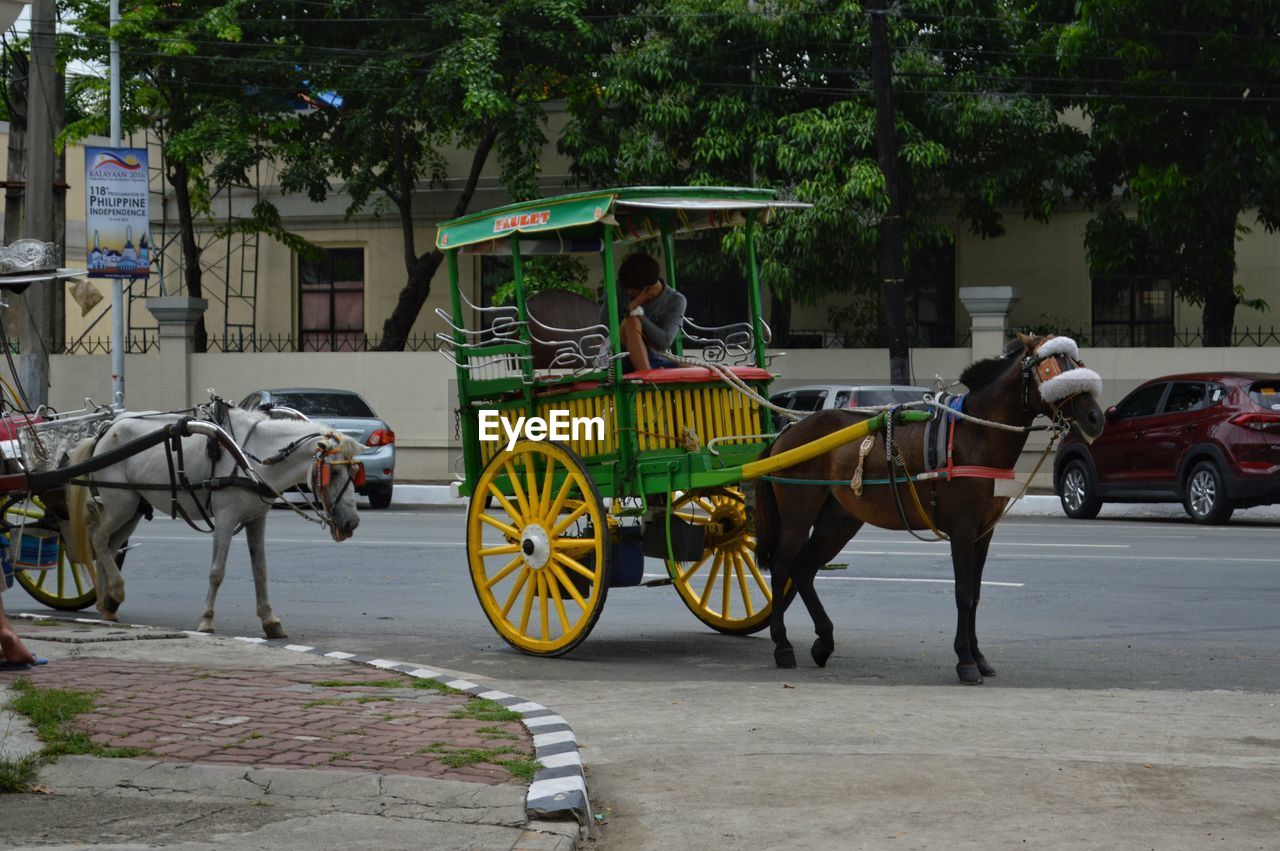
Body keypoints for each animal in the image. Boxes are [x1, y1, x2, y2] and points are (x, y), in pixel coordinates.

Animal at [68, 406, 363, 637]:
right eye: (334, 472)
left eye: (354, 472)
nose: (351, 523)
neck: (252, 456)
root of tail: (105, 430)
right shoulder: (225, 518)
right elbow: (217, 571)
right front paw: (207, 619)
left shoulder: (257, 519)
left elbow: (260, 570)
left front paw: (270, 620)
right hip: (120, 503)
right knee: (97, 538)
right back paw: (115, 593)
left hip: (133, 509)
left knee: (109, 544)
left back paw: (106, 603)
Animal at [752, 332, 1105, 685]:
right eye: (1050, 370)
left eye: (1077, 363)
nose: (1095, 418)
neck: (975, 435)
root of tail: (786, 434)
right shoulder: (962, 529)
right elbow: (964, 592)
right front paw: (965, 660)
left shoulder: (983, 533)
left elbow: (976, 593)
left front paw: (979, 656)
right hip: (798, 515)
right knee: (782, 568)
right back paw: (782, 645)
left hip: (838, 521)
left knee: (803, 570)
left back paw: (824, 642)